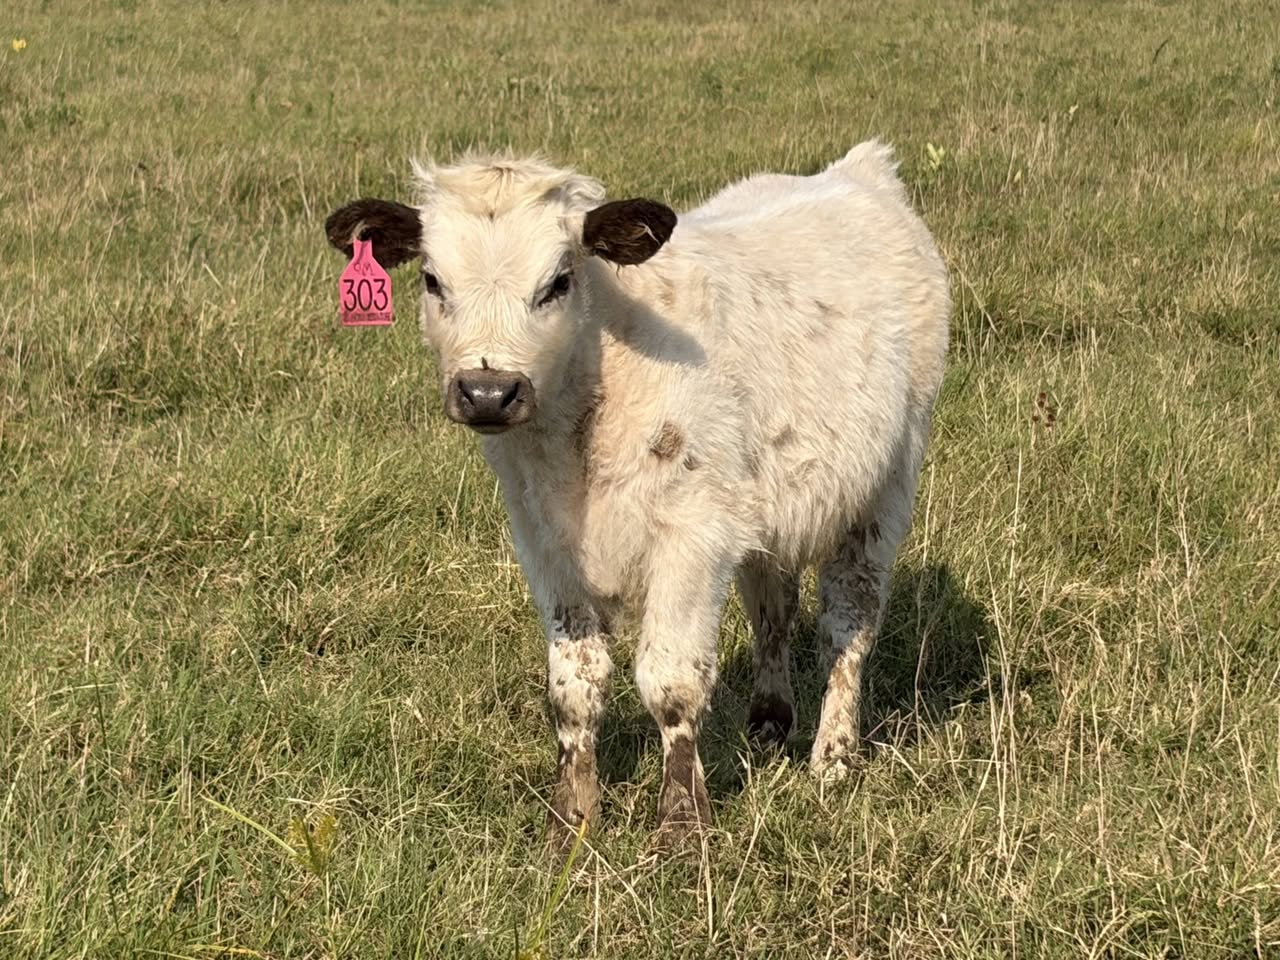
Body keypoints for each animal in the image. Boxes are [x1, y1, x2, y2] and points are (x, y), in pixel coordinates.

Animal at [324, 140, 950, 847]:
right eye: (433, 280)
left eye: (558, 282)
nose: (488, 391)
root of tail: (857, 171)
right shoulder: (547, 545)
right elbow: (574, 684)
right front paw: (572, 821)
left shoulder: (693, 538)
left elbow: (671, 681)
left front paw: (682, 824)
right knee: (773, 607)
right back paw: (769, 722)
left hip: (884, 491)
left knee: (847, 625)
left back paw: (834, 757)